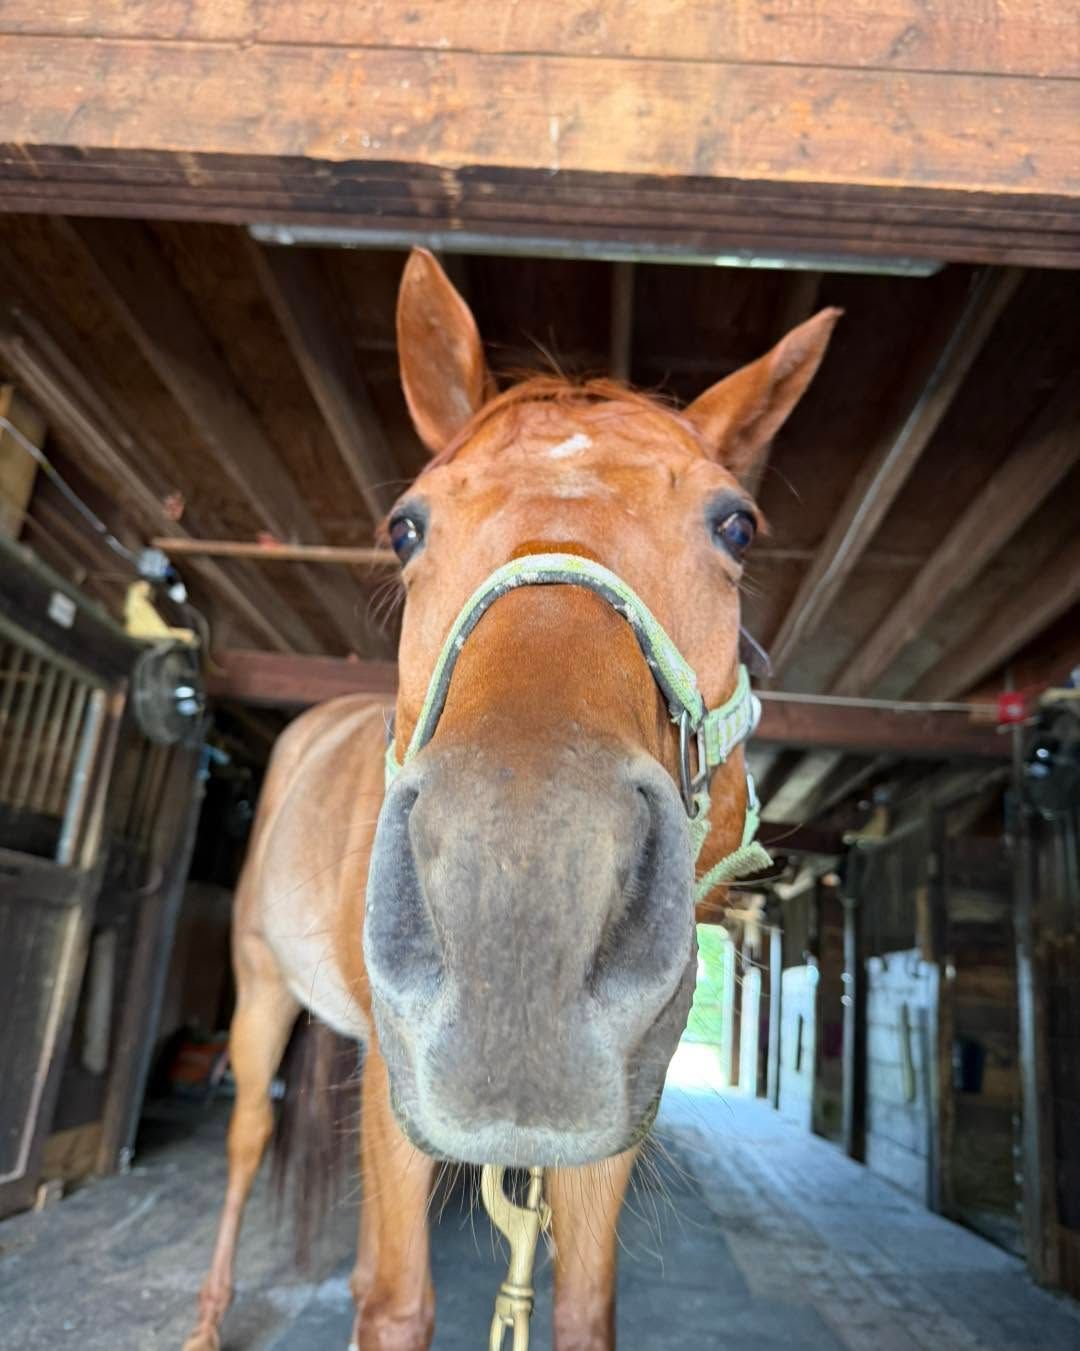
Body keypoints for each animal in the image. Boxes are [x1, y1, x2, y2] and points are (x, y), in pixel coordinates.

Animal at [182, 249, 839, 1351]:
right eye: (405, 526)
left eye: (736, 524)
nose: (522, 909)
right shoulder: (395, 1086)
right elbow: (395, 1300)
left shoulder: (614, 1113)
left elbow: (580, 1305)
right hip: (262, 983)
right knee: (244, 1139)